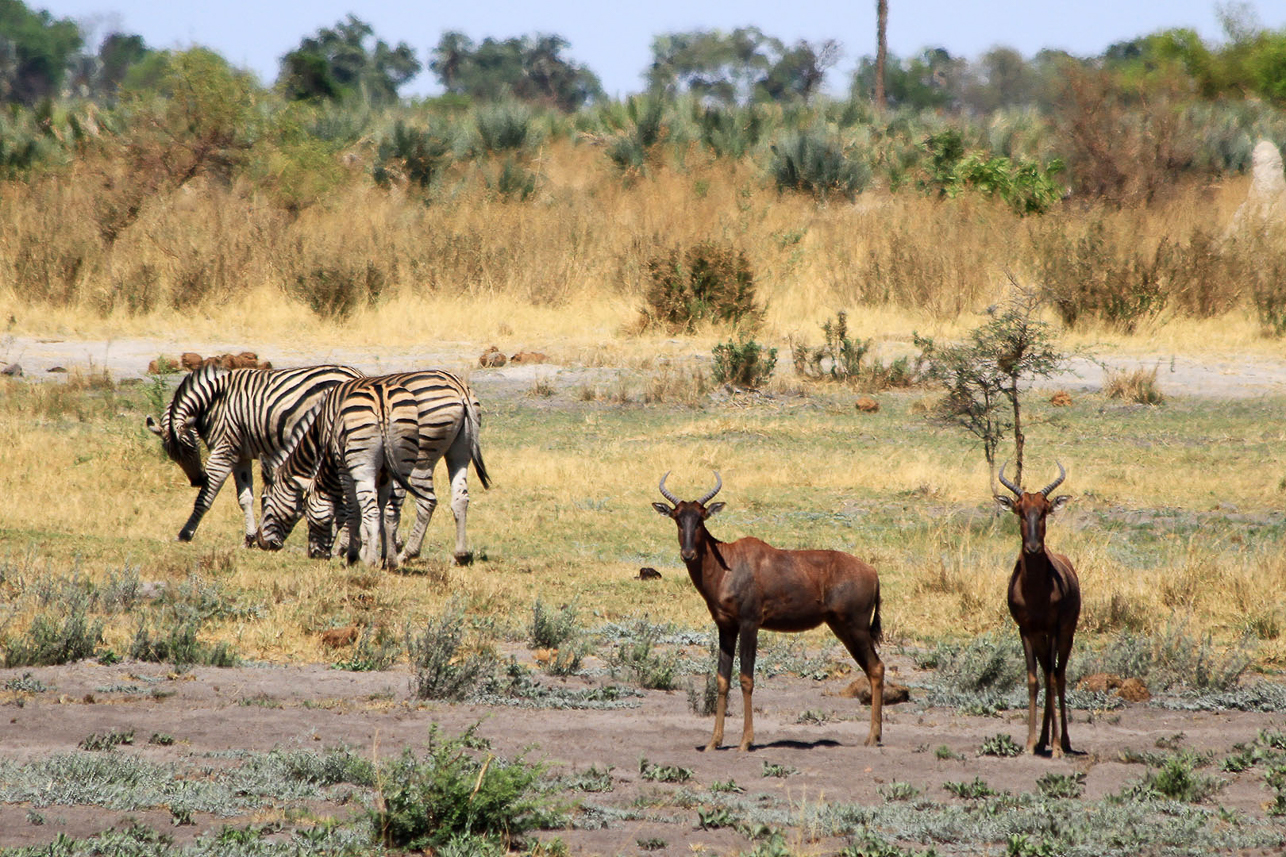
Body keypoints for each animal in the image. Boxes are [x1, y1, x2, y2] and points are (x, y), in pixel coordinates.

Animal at [147, 360, 365, 540]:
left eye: (192, 449)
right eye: (173, 457)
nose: (197, 481)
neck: (212, 401)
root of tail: (356, 374)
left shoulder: (224, 450)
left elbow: (204, 498)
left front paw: (185, 533)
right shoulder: (240, 455)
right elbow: (245, 498)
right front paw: (250, 537)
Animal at [253, 365, 488, 561]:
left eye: (264, 501)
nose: (261, 543)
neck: (320, 430)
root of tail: (458, 387)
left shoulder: (342, 461)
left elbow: (346, 509)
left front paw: (347, 549)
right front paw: (377, 548)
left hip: (422, 457)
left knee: (427, 501)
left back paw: (408, 554)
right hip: (459, 453)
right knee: (460, 498)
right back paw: (460, 555)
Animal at [653, 473, 884, 746]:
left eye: (701, 518)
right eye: (678, 517)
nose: (687, 554)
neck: (729, 563)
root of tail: (872, 572)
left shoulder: (750, 623)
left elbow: (746, 678)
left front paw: (746, 742)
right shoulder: (726, 627)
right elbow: (722, 679)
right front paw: (714, 742)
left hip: (856, 627)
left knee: (876, 668)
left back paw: (872, 738)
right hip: (842, 628)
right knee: (871, 668)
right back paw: (874, 736)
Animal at [997, 460, 1080, 756]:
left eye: (1044, 511)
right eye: (1020, 511)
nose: (1033, 548)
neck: (1035, 590)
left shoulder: (1054, 628)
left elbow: (1054, 678)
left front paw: (1056, 747)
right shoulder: (1025, 629)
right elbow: (1033, 680)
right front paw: (1031, 744)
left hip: (1066, 633)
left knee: (1059, 674)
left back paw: (1062, 741)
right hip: (1040, 637)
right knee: (1046, 673)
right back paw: (1044, 739)